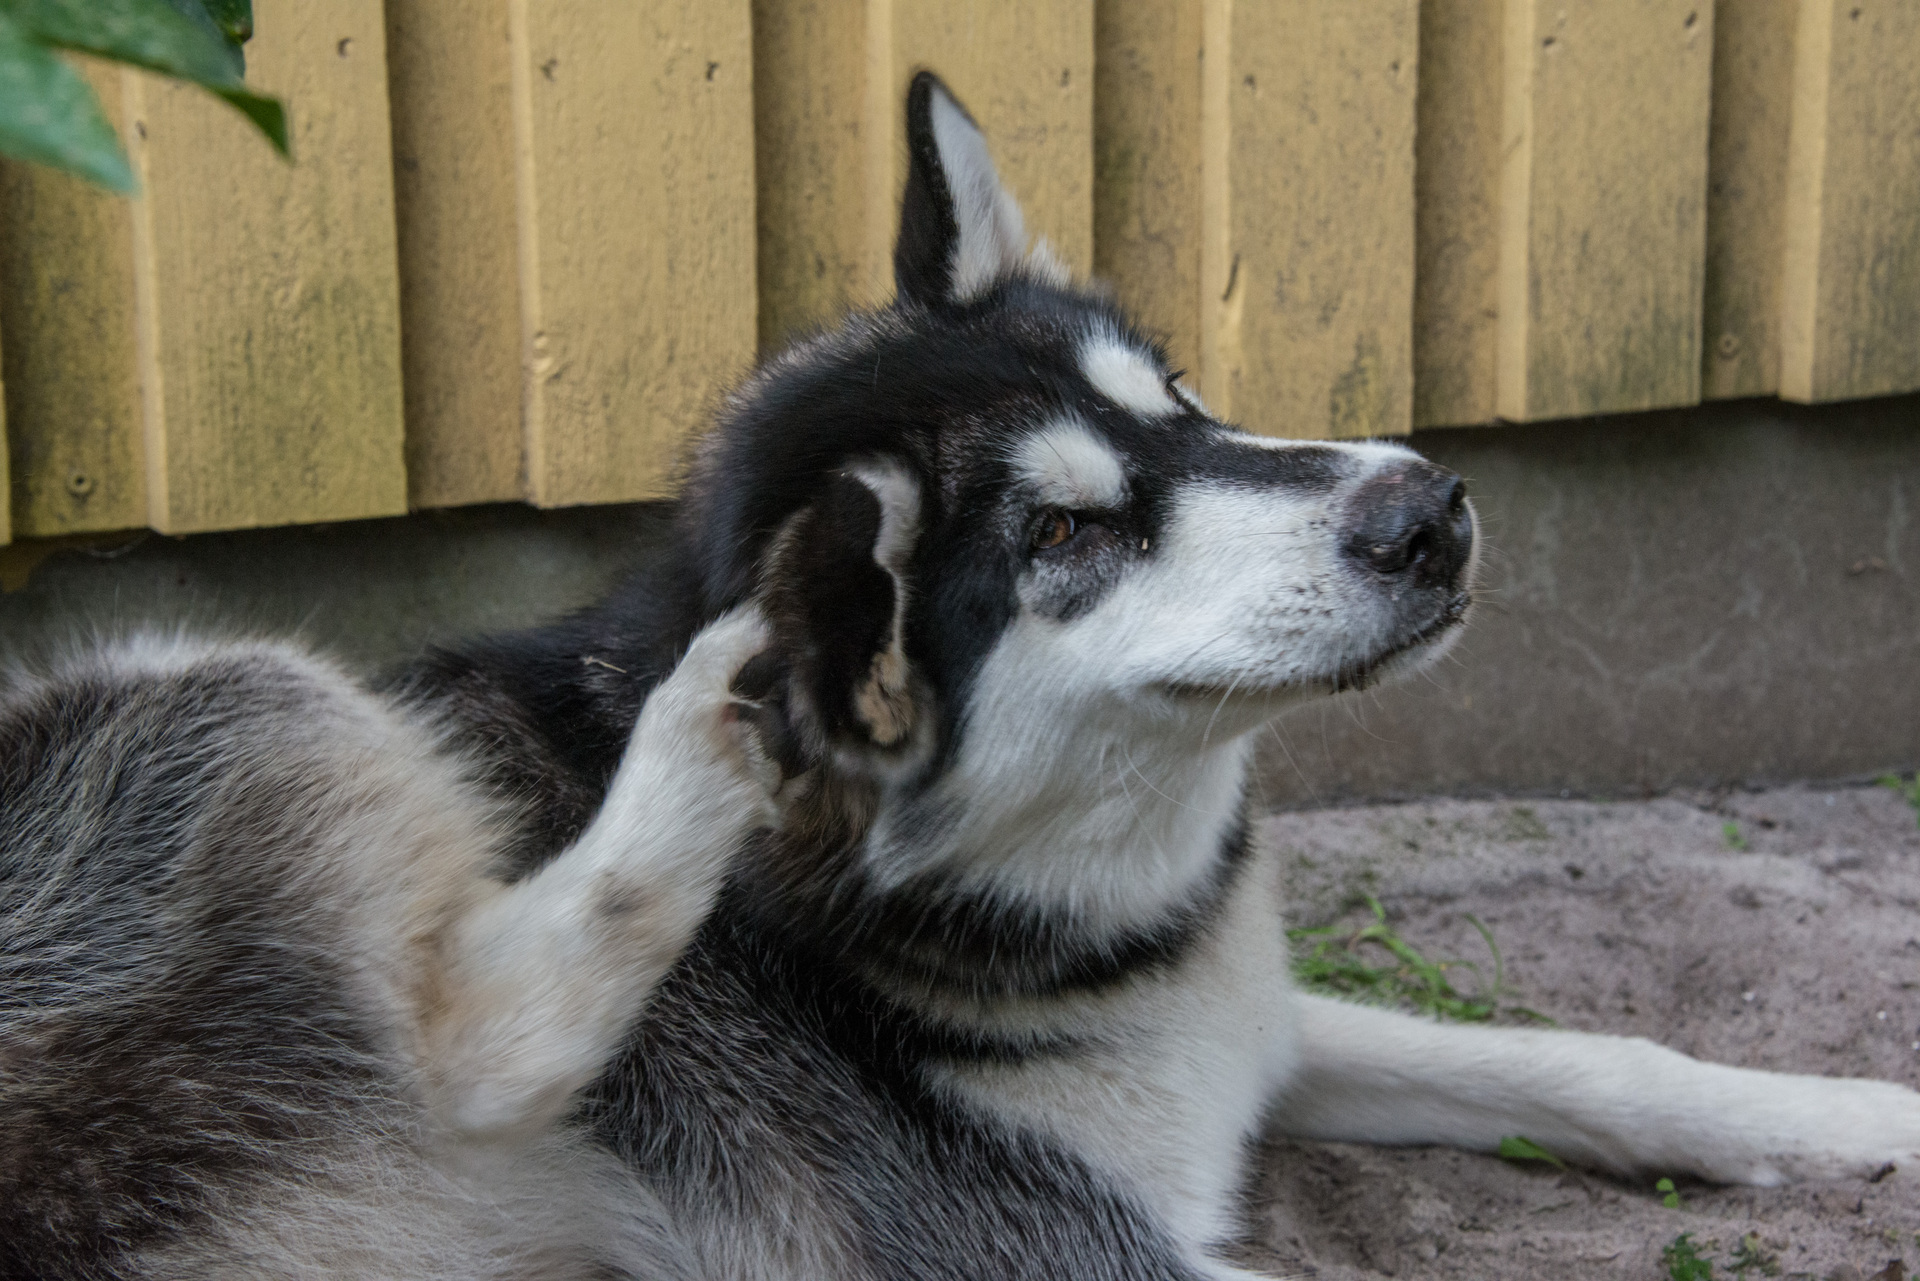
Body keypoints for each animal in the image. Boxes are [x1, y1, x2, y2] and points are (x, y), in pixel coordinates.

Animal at [401, 73, 1920, 1279]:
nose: (1428, 512)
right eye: (1064, 535)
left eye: (1180, 400)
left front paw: (1862, 1118)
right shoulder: (1062, 1246)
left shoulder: (1258, 1034)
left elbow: (1593, 1056)